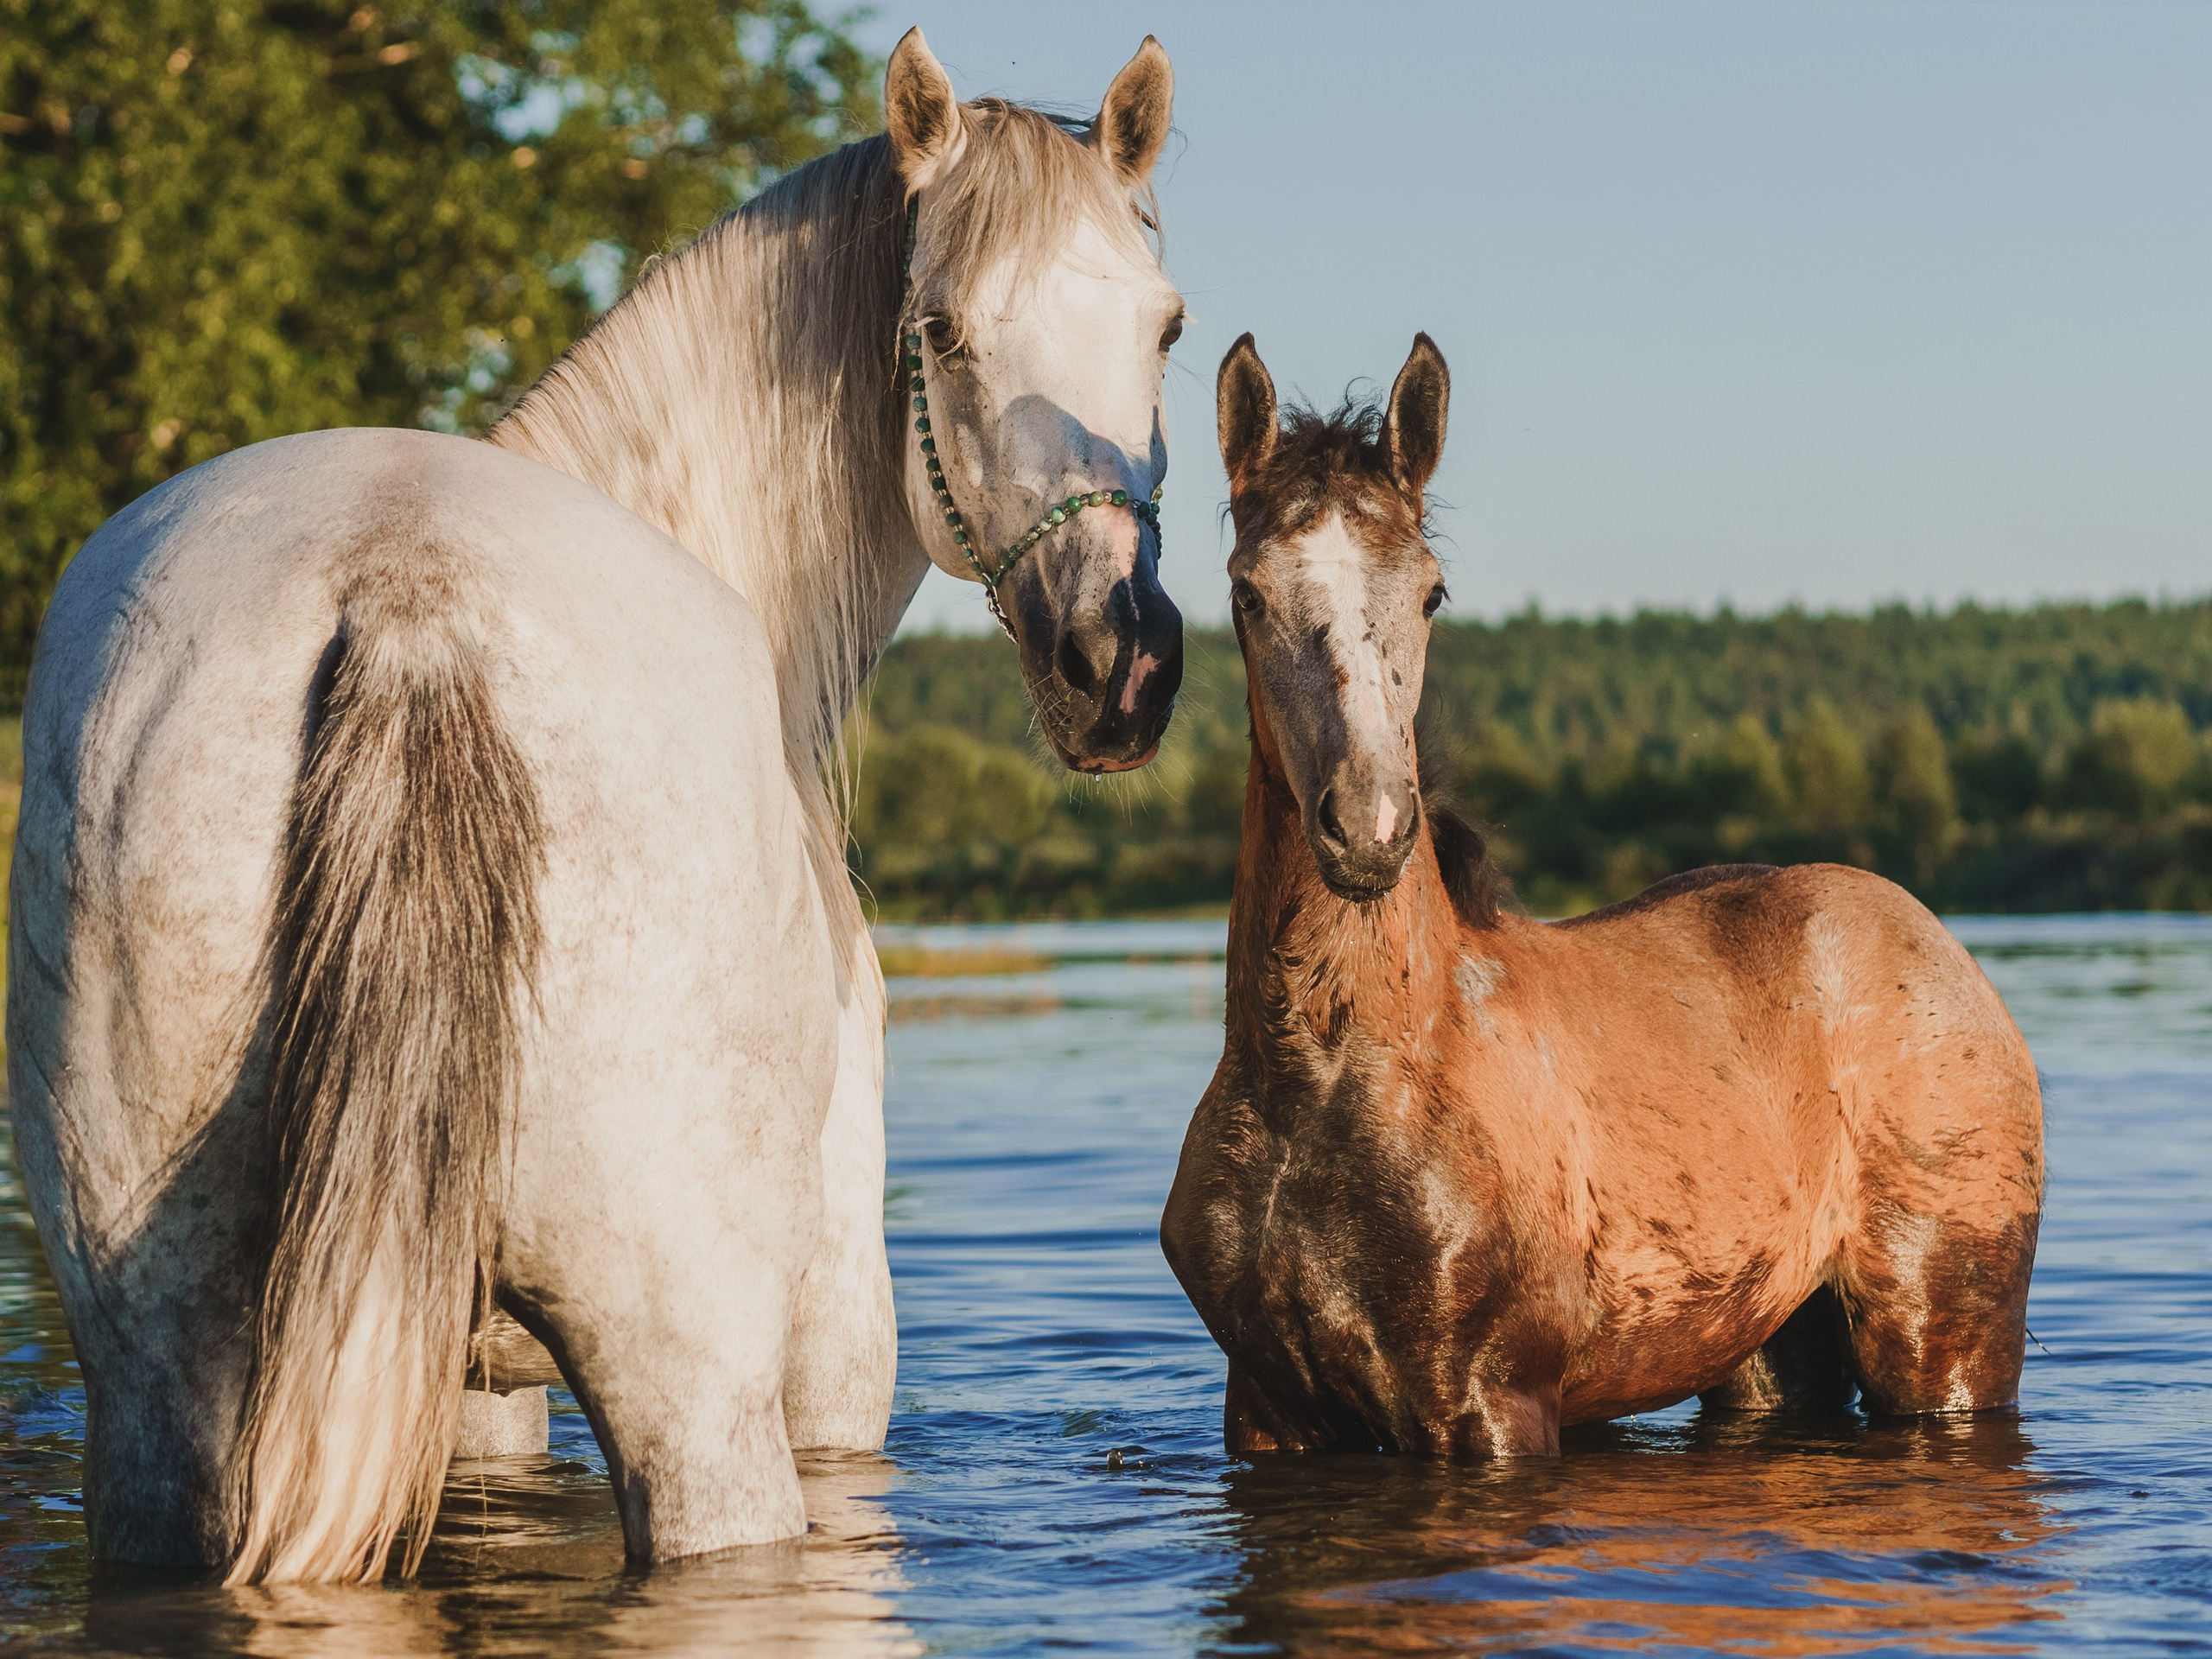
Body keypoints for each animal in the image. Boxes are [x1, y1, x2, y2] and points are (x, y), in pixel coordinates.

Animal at [7, 27, 1186, 1583]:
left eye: (1166, 328)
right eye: (937, 331)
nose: (1118, 665)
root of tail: (407, 590)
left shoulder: (456, 1394)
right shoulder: (833, 1351)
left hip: (162, 1373)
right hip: (696, 1391)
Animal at [1159, 333, 2044, 1460]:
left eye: (1430, 592)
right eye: (1248, 595)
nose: (1367, 824)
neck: (1325, 1069)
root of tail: (1938, 945)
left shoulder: (1493, 1404)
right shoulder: (1270, 1412)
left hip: (1948, 1335)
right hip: (1761, 1344)